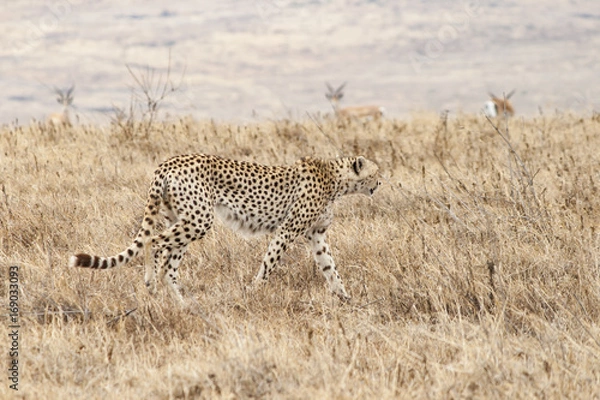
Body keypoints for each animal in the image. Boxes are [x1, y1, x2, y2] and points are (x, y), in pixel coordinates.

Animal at [69, 155, 380, 304]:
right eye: (376, 173)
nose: (381, 183)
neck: (335, 179)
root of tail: (168, 162)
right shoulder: (287, 231)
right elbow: (269, 264)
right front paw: (254, 292)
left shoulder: (316, 235)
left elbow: (331, 268)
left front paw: (346, 298)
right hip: (198, 220)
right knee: (154, 243)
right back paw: (151, 284)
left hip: (182, 219)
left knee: (168, 262)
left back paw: (180, 302)